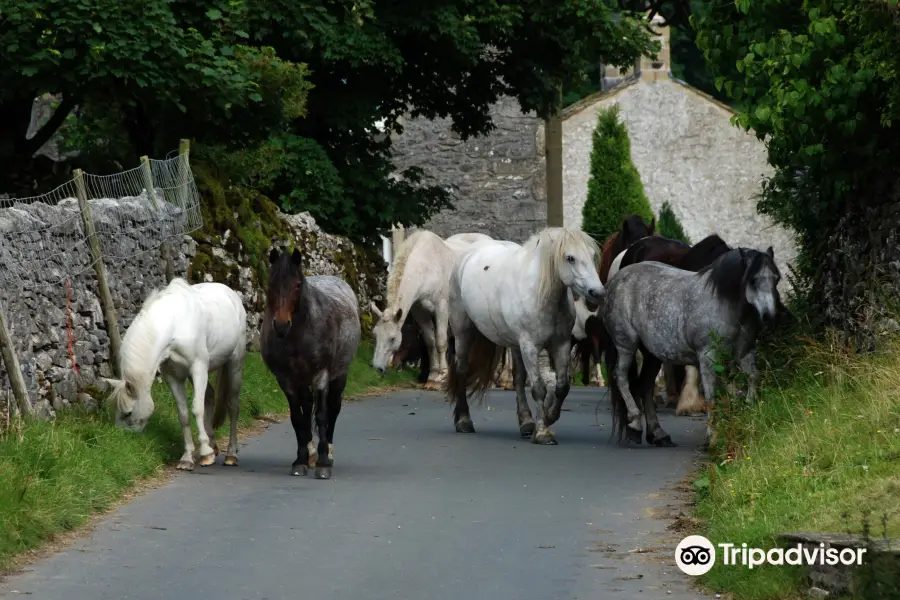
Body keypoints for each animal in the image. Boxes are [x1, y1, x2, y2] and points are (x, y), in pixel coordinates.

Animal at [110, 278, 248, 472]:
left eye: (128, 413)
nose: (121, 440)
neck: (174, 326)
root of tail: (231, 293)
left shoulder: (198, 368)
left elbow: (197, 409)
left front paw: (205, 453)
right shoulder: (173, 377)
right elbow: (183, 415)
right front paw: (187, 458)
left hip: (235, 363)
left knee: (233, 406)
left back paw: (231, 454)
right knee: (210, 396)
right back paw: (213, 445)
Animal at [260, 247, 362, 478]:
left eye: (297, 285)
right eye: (271, 283)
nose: (281, 325)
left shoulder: (321, 375)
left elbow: (323, 416)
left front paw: (323, 463)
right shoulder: (286, 379)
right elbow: (297, 418)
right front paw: (301, 460)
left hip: (339, 375)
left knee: (333, 409)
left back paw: (328, 454)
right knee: (307, 409)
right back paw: (310, 453)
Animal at [374, 230, 496, 390]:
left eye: (393, 338)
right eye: (375, 334)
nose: (377, 368)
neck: (427, 266)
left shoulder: (442, 308)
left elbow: (441, 341)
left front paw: (442, 376)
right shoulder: (420, 311)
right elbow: (430, 342)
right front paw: (432, 376)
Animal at [444, 227, 604, 442]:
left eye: (593, 254)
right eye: (570, 258)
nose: (598, 293)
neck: (539, 293)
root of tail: (467, 253)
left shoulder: (561, 344)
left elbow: (562, 386)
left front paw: (549, 417)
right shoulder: (530, 347)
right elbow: (539, 388)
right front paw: (543, 432)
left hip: (514, 344)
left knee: (518, 379)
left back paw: (526, 422)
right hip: (463, 333)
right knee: (461, 369)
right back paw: (463, 421)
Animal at [604, 245, 780, 446]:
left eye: (776, 278)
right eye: (753, 280)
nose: (769, 315)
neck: (723, 302)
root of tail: (615, 280)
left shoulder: (744, 353)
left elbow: (752, 377)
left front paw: (749, 408)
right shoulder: (708, 356)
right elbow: (712, 396)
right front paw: (712, 438)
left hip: (652, 355)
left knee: (645, 386)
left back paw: (658, 434)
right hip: (626, 344)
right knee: (621, 377)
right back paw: (634, 424)